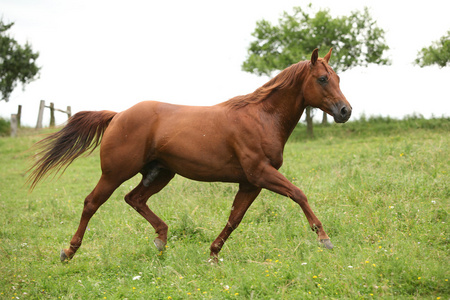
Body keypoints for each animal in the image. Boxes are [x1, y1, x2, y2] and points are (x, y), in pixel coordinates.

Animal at [29, 48, 352, 262]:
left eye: (337, 77)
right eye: (322, 79)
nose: (345, 111)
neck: (261, 118)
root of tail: (118, 115)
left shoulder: (250, 183)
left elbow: (235, 218)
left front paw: (213, 254)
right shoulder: (261, 173)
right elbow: (299, 194)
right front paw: (325, 239)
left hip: (160, 172)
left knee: (134, 199)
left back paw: (161, 240)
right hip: (115, 173)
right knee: (91, 203)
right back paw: (68, 251)